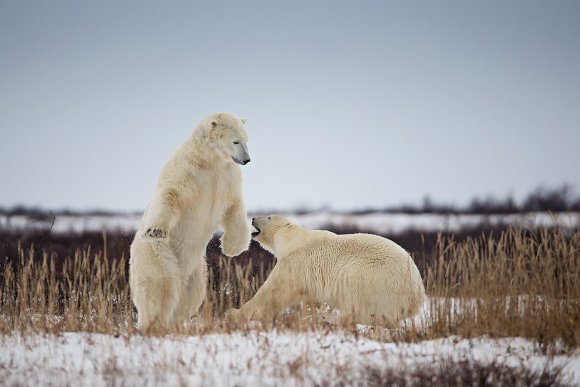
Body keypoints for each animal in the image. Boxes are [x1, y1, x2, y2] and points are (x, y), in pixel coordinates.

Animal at [131, 113, 251, 334]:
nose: (247, 160)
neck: (210, 160)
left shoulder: (228, 177)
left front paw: (232, 247)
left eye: (246, 140)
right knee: (158, 285)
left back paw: (176, 322)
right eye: (236, 141)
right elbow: (171, 194)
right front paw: (156, 229)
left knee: (191, 295)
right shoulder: (188, 170)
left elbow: (234, 206)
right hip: (158, 254)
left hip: (196, 269)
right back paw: (155, 324)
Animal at [229, 217, 424, 326]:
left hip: (373, 280)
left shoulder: (296, 262)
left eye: (269, 216)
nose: (253, 217)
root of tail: (417, 296)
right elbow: (310, 300)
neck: (293, 240)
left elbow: (273, 292)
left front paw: (234, 313)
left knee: (358, 303)